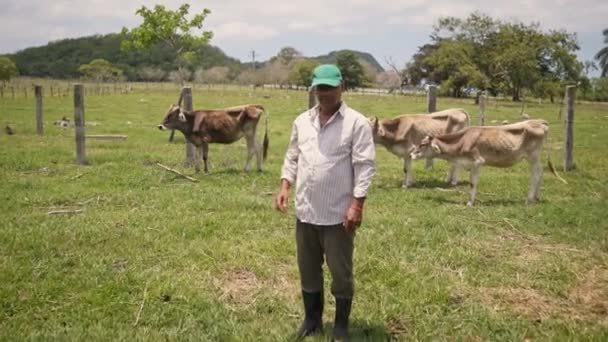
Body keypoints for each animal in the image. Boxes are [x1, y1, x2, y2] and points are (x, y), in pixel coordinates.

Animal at [410, 119, 548, 206]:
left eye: (423, 144)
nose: (411, 154)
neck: (462, 141)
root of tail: (539, 122)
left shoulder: (477, 162)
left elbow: (472, 183)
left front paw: (469, 202)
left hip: (533, 156)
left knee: (535, 174)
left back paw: (529, 200)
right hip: (535, 157)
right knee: (541, 172)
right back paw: (536, 197)